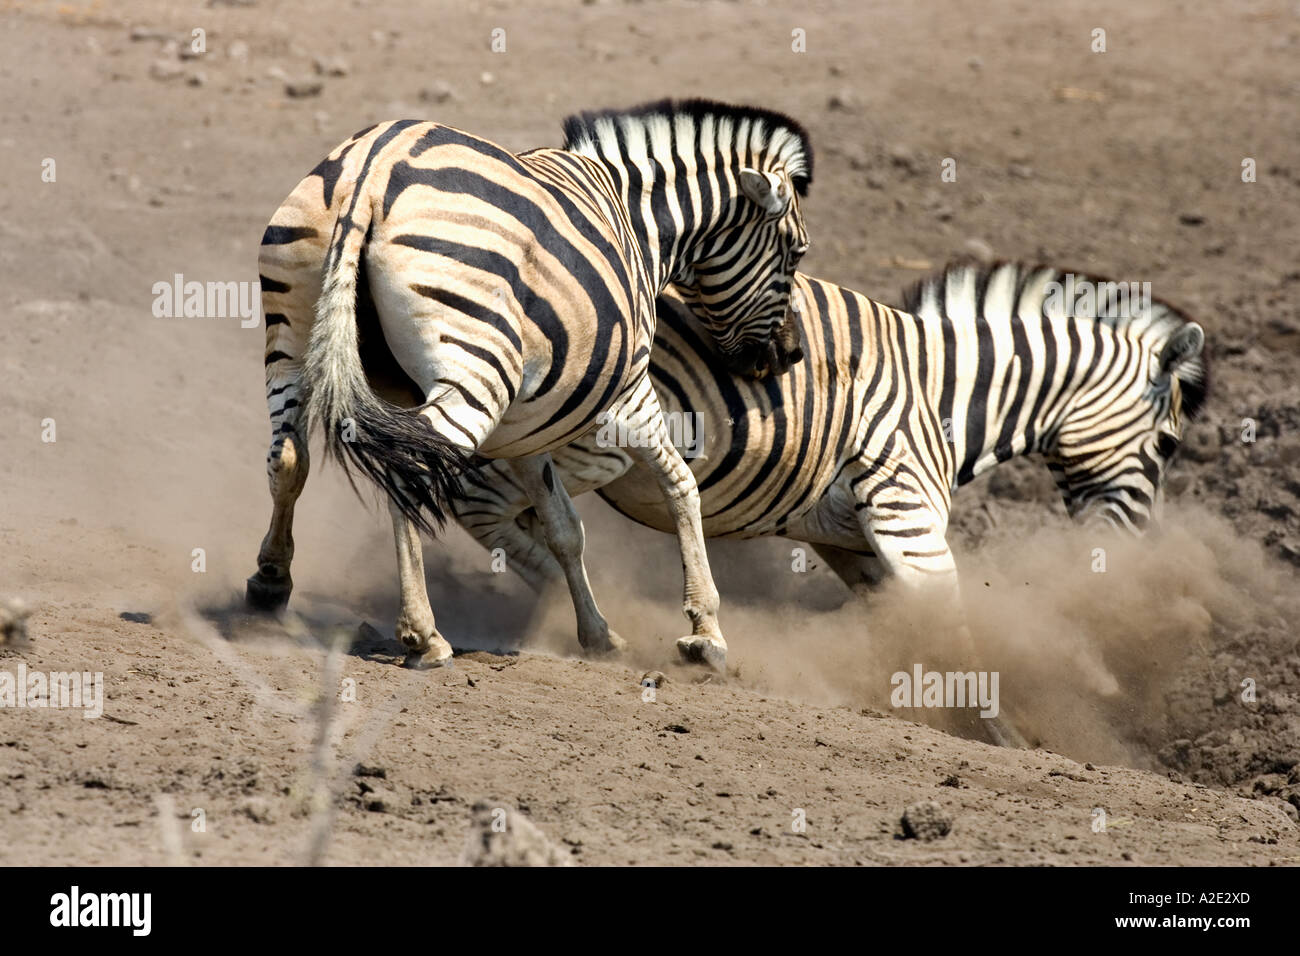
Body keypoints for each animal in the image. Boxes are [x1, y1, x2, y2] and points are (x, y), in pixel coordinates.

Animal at [245, 100, 811, 671]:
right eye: (796, 252)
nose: (791, 355)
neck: (640, 225)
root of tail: (374, 167)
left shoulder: (526, 425)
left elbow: (564, 528)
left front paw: (597, 634)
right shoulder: (629, 391)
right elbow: (681, 486)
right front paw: (705, 632)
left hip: (292, 333)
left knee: (292, 457)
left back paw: (271, 583)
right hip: (476, 363)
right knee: (410, 471)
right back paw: (423, 635)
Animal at [454, 257, 1206, 613]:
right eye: (1169, 447)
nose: (1131, 557)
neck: (942, 395)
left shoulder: (847, 540)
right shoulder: (909, 519)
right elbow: (959, 635)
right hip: (585, 446)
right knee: (472, 502)